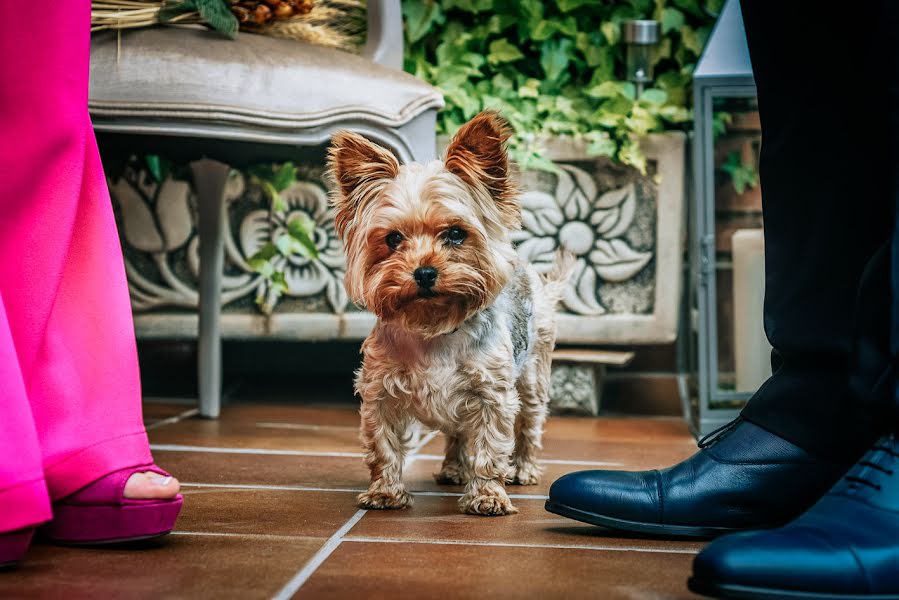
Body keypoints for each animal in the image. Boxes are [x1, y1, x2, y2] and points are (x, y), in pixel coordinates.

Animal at [328, 110, 568, 512]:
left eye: (456, 234)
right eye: (393, 238)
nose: (424, 272)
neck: (435, 327)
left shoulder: (492, 394)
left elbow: (490, 447)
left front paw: (488, 495)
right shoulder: (380, 391)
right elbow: (383, 446)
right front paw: (385, 492)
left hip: (534, 373)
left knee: (529, 424)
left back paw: (524, 469)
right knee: (456, 434)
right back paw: (454, 469)